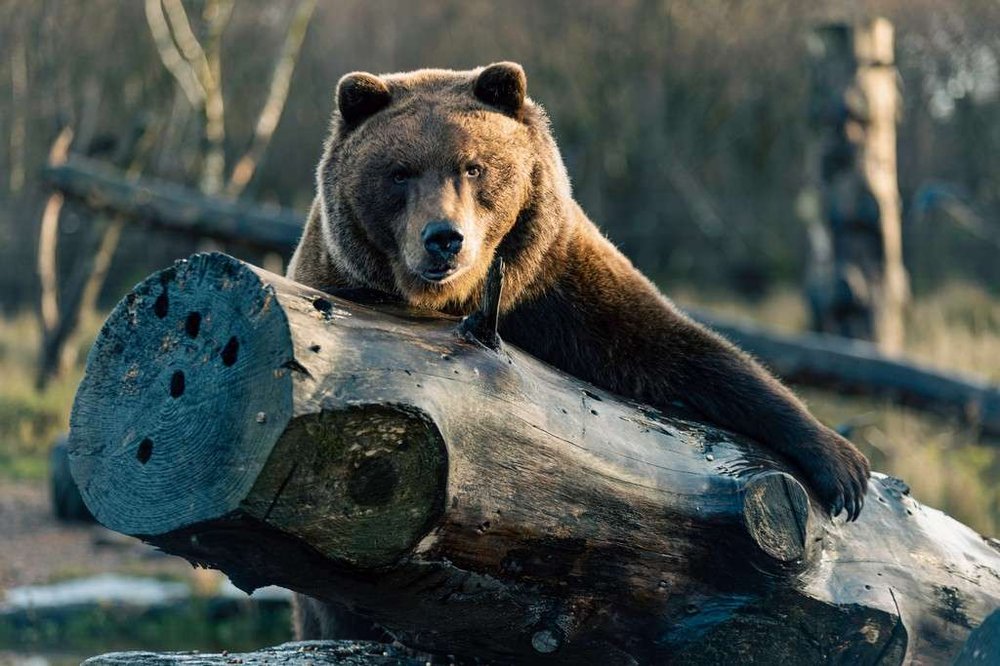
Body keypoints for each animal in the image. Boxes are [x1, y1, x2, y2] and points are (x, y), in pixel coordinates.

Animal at [287, 62, 871, 639]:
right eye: (399, 172)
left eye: (473, 167)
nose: (444, 238)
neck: (462, 298)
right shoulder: (341, 287)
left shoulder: (557, 286)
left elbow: (681, 354)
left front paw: (842, 467)